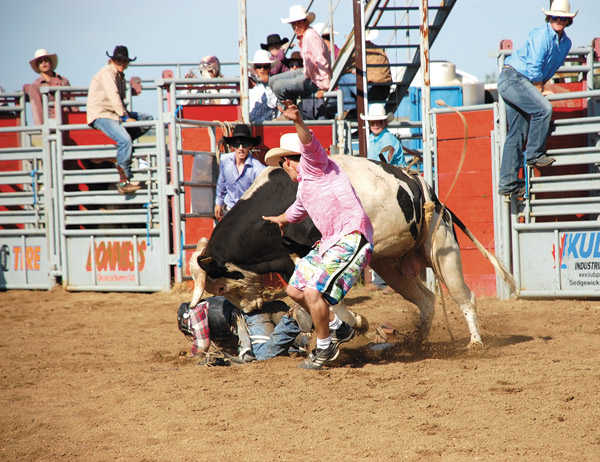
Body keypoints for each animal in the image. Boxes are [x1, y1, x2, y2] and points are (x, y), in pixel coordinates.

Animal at [189, 155, 516, 346]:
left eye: (221, 284)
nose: (248, 310)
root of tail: (427, 191)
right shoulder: (290, 262)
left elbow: (329, 300)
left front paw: (356, 322)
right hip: (391, 265)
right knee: (426, 300)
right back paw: (420, 343)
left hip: (442, 250)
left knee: (464, 296)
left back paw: (475, 342)